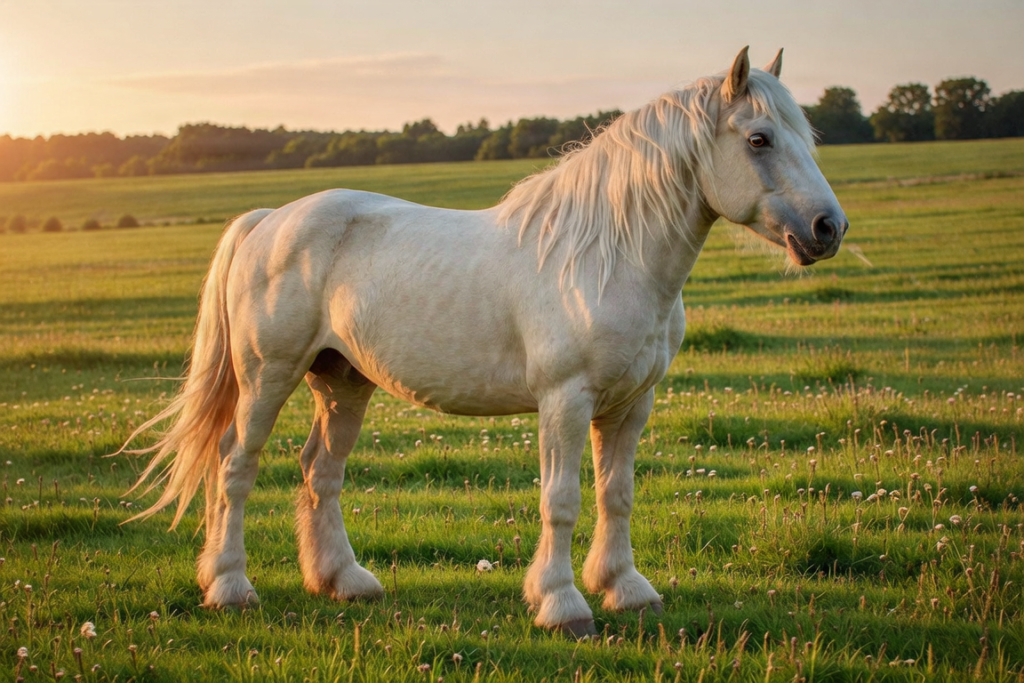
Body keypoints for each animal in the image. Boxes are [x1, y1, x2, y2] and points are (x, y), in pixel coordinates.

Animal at [123, 47, 847, 637]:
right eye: (758, 138)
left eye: (809, 137)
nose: (827, 227)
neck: (604, 256)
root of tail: (270, 219)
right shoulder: (565, 400)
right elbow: (562, 499)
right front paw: (561, 603)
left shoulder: (630, 404)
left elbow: (616, 494)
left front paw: (626, 590)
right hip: (266, 376)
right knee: (234, 466)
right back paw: (229, 586)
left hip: (341, 382)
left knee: (319, 472)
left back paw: (343, 581)